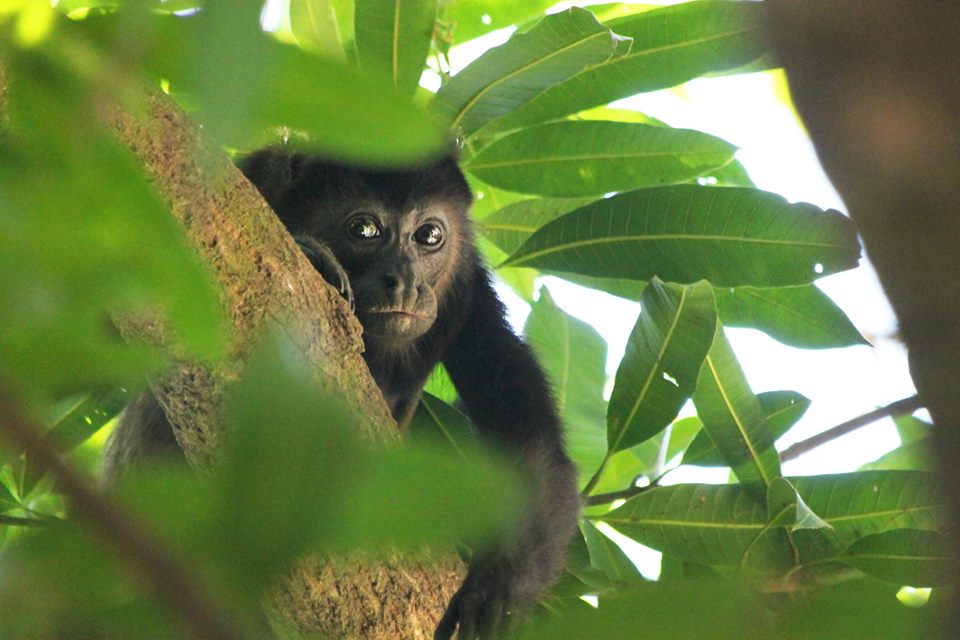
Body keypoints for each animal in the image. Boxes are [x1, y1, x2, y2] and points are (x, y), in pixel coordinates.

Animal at [109, 149, 580, 640]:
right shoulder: (249, 174)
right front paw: (314, 256)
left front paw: (494, 587)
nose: (404, 281)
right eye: (364, 229)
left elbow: (534, 443)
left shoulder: (470, 296)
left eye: (429, 236)